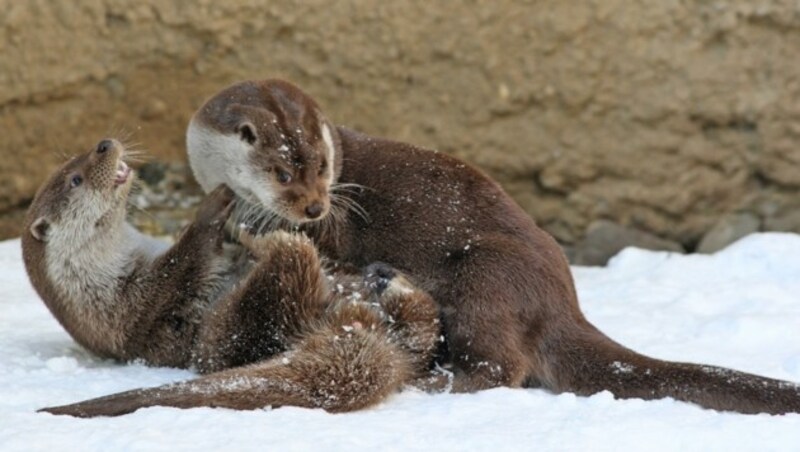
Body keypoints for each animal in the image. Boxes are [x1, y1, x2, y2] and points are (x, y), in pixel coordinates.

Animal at [184, 77, 800, 414]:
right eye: (285, 172)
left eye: (323, 167)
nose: (314, 206)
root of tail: (561, 303)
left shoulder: (333, 230)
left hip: (486, 277)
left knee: (500, 366)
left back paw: (432, 380)